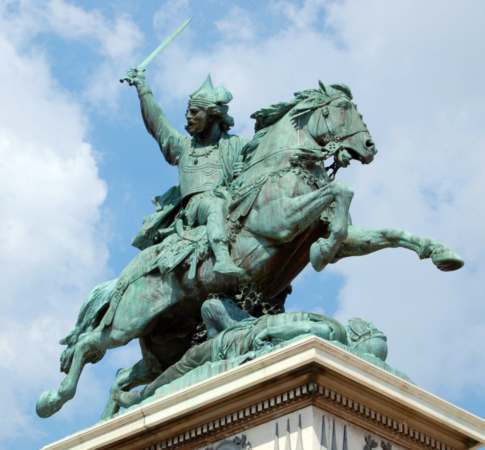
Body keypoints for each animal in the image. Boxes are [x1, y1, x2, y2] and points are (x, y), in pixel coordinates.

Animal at [36, 80, 462, 418]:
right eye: (342, 110)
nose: (370, 146)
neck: (284, 167)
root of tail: (123, 279)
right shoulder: (280, 221)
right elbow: (340, 192)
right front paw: (322, 251)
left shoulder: (336, 233)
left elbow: (385, 233)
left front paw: (440, 252)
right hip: (128, 320)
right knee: (88, 347)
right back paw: (53, 400)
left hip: (165, 338)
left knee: (127, 373)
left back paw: (115, 411)